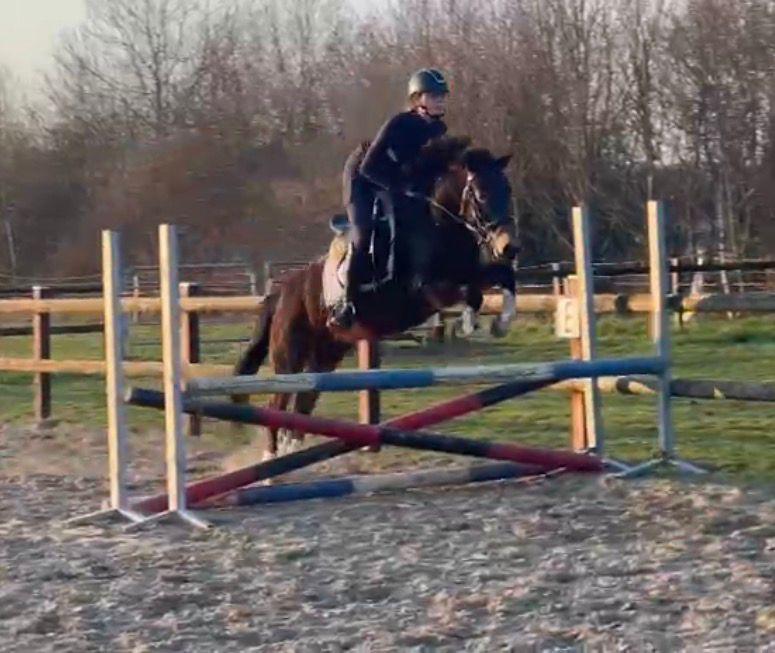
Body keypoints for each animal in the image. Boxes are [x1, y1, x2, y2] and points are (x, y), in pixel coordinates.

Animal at [234, 136, 519, 457]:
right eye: (481, 195)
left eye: (508, 190)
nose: (509, 247)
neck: (438, 223)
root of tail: (281, 293)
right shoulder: (426, 291)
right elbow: (471, 295)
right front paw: (469, 325)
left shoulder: (473, 272)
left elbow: (503, 279)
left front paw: (500, 325)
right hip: (289, 358)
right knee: (276, 405)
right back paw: (271, 460)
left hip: (325, 356)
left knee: (301, 407)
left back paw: (287, 453)